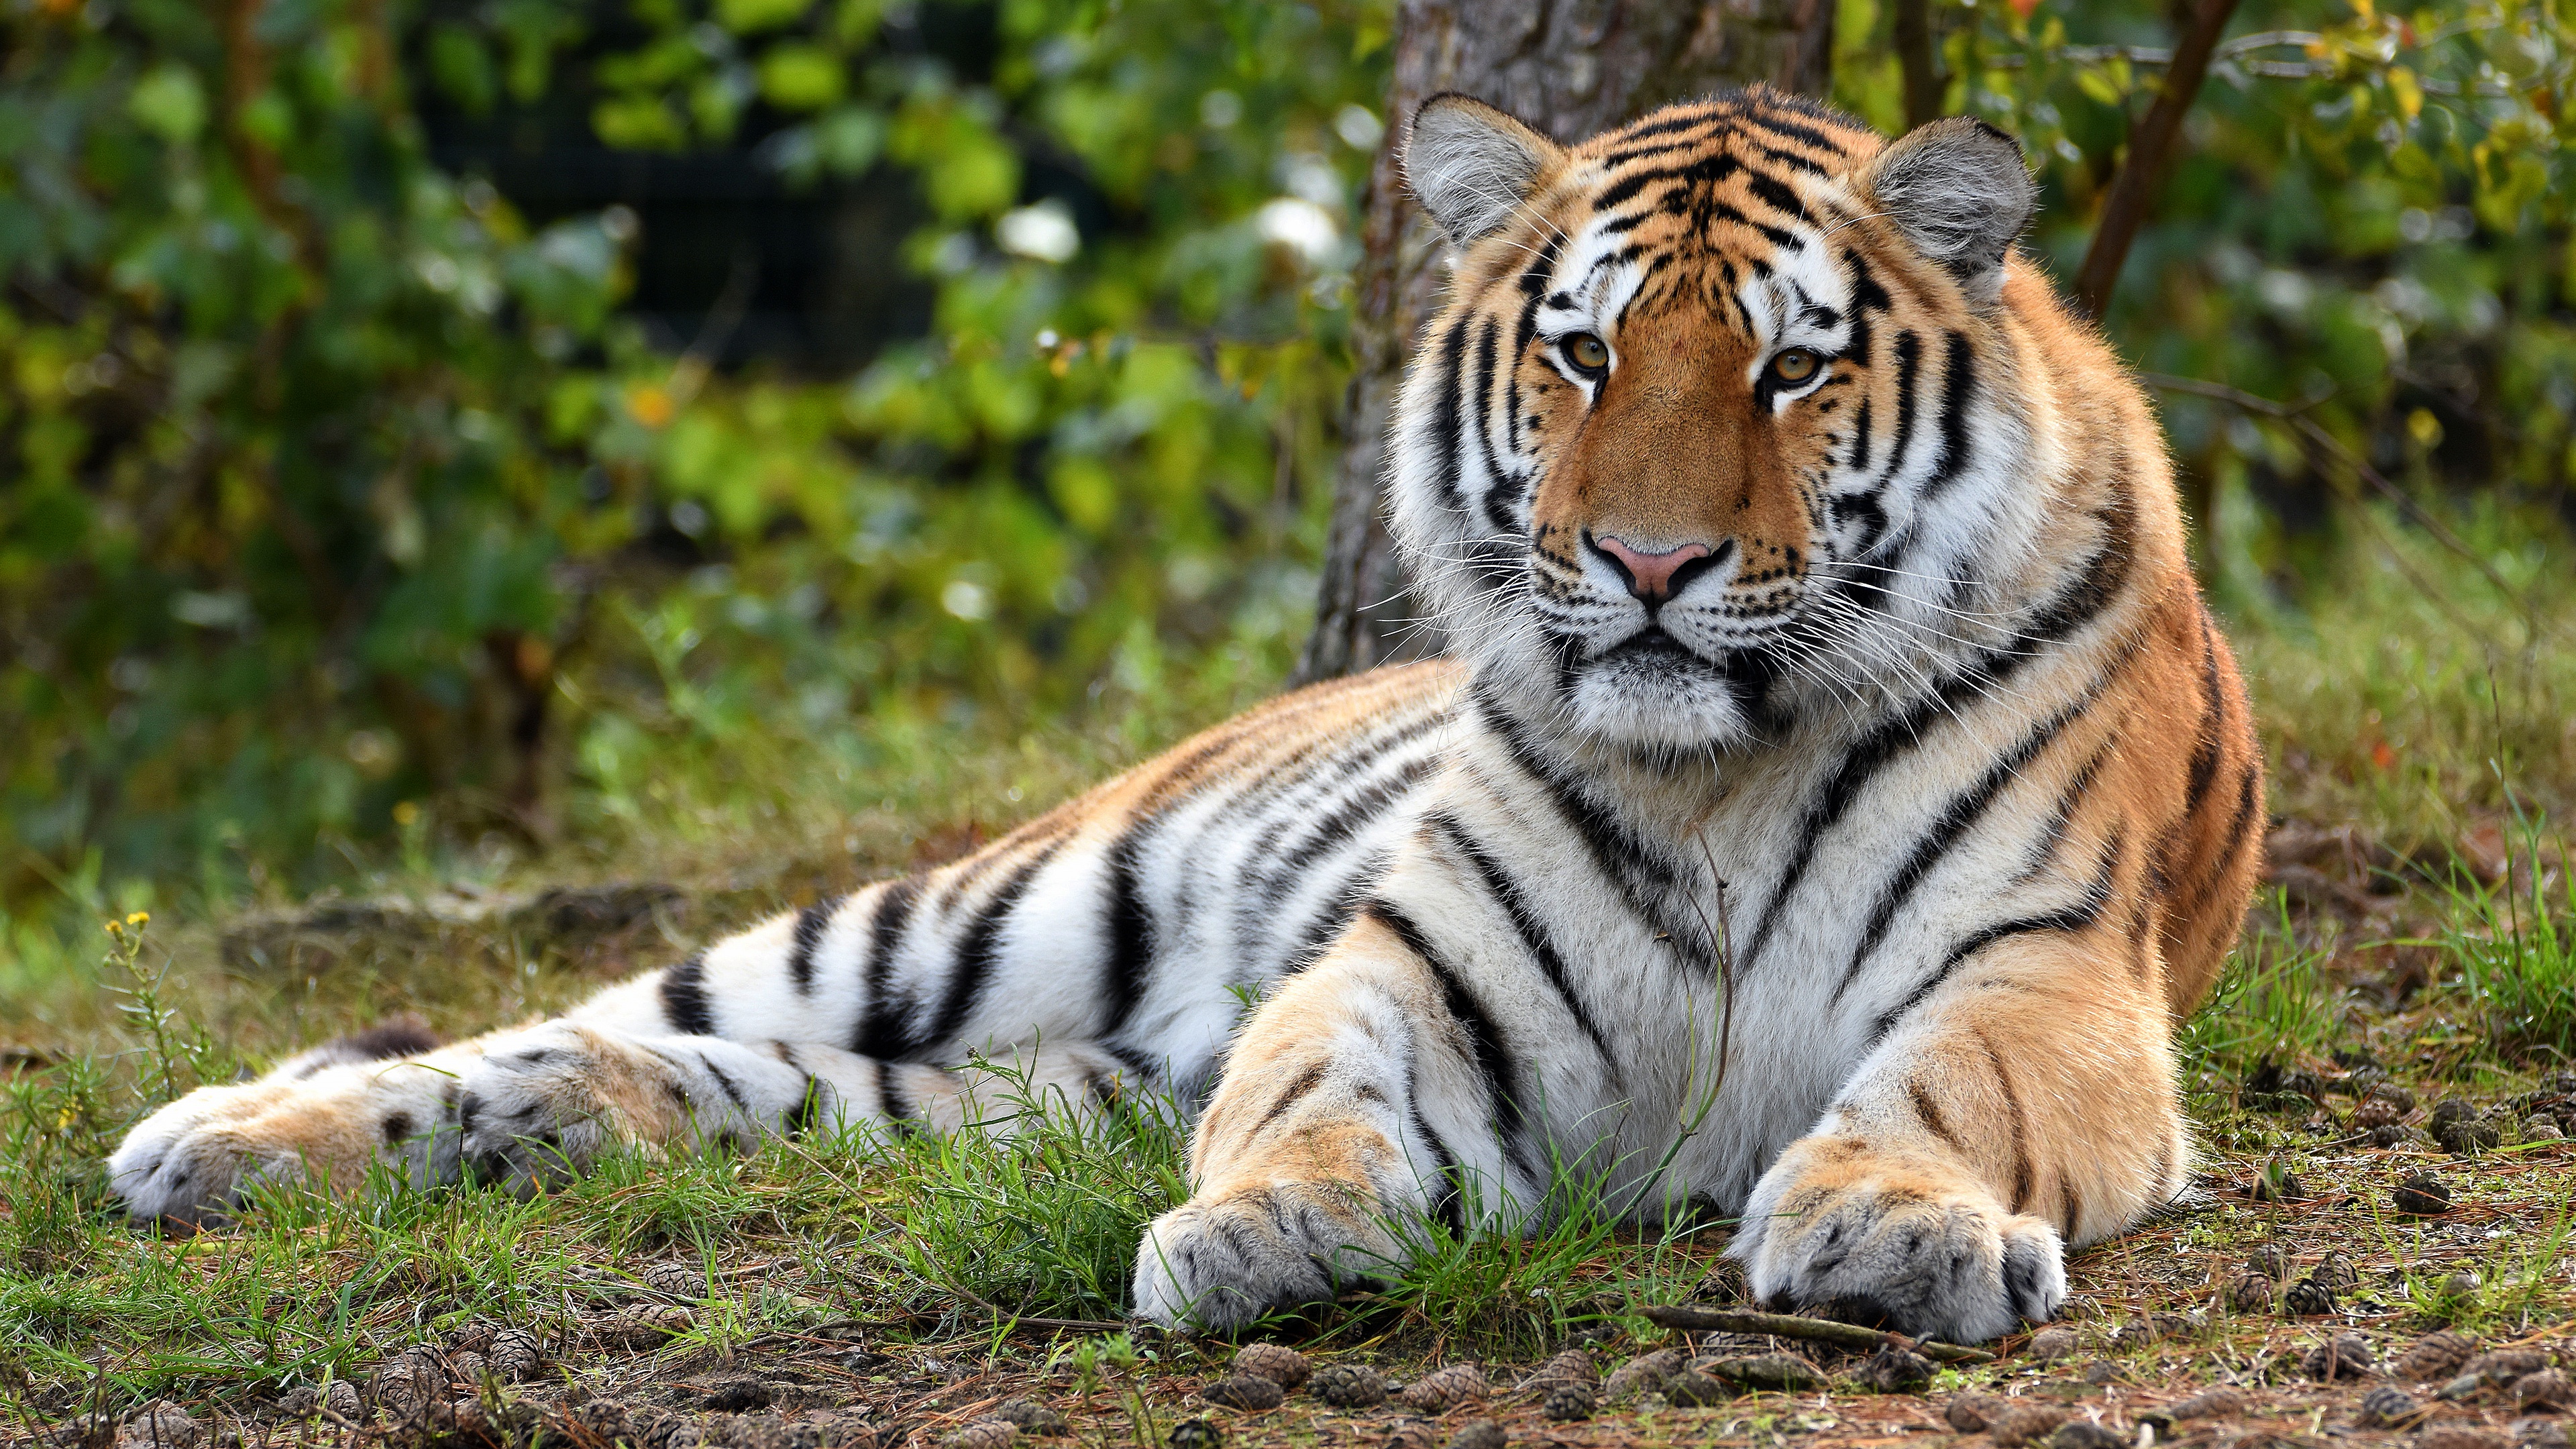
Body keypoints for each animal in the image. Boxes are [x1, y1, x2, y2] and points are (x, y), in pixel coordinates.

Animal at [111, 84, 2267, 1340]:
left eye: (1788, 369)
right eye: (1581, 356)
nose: (1648, 564)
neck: (1712, 769)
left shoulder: (2046, 969)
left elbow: (1947, 1090)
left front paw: (1894, 1228)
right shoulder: (1416, 962)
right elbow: (1312, 1089)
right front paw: (1267, 1234)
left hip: (1014, 1081)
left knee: (690, 1074)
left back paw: (534, 1133)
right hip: (968, 912)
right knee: (567, 1010)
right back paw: (216, 1138)